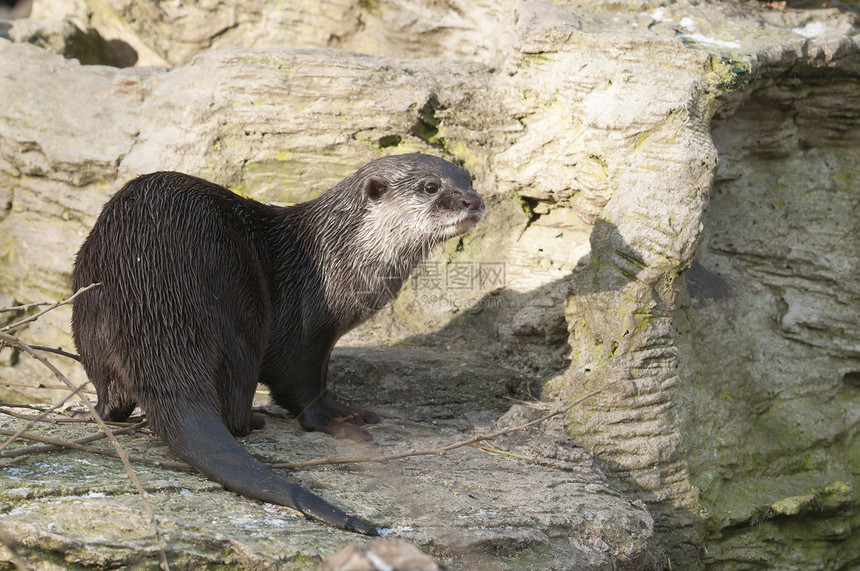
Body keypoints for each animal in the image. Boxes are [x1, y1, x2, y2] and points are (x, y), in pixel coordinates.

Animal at [72, 153, 484, 536]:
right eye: (430, 187)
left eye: (470, 178)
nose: (473, 201)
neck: (335, 258)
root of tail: (150, 293)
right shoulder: (305, 324)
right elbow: (301, 389)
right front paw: (334, 423)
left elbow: (321, 383)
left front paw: (345, 410)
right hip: (243, 307)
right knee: (235, 402)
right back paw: (255, 420)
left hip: (88, 318)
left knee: (111, 393)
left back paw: (89, 413)